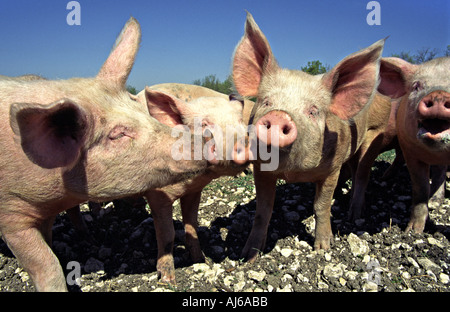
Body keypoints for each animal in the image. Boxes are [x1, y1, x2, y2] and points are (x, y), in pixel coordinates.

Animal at [0, 17, 209, 290]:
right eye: (117, 134)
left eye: (142, 111)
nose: (204, 140)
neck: (51, 195)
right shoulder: (11, 214)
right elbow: (46, 263)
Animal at [133, 83, 253, 286]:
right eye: (204, 125)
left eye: (240, 121)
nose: (244, 147)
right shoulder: (157, 195)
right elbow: (167, 234)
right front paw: (168, 281)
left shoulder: (194, 191)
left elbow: (192, 227)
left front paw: (201, 261)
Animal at [232, 12, 386, 260]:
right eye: (266, 102)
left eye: (313, 111)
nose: (278, 115)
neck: (295, 172)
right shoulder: (261, 169)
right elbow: (263, 210)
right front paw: (249, 255)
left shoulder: (332, 168)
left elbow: (321, 206)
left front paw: (323, 248)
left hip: (373, 135)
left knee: (362, 173)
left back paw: (354, 214)